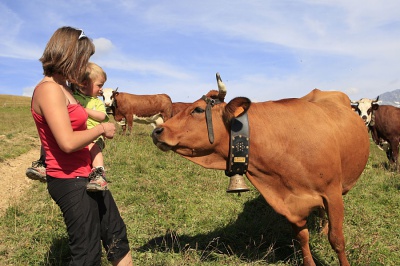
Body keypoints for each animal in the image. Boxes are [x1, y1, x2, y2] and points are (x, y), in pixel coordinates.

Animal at [152, 73, 368, 266]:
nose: (157, 131)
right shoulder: (292, 204)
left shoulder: (332, 193)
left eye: (197, 109)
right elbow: (302, 238)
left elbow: (337, 239)